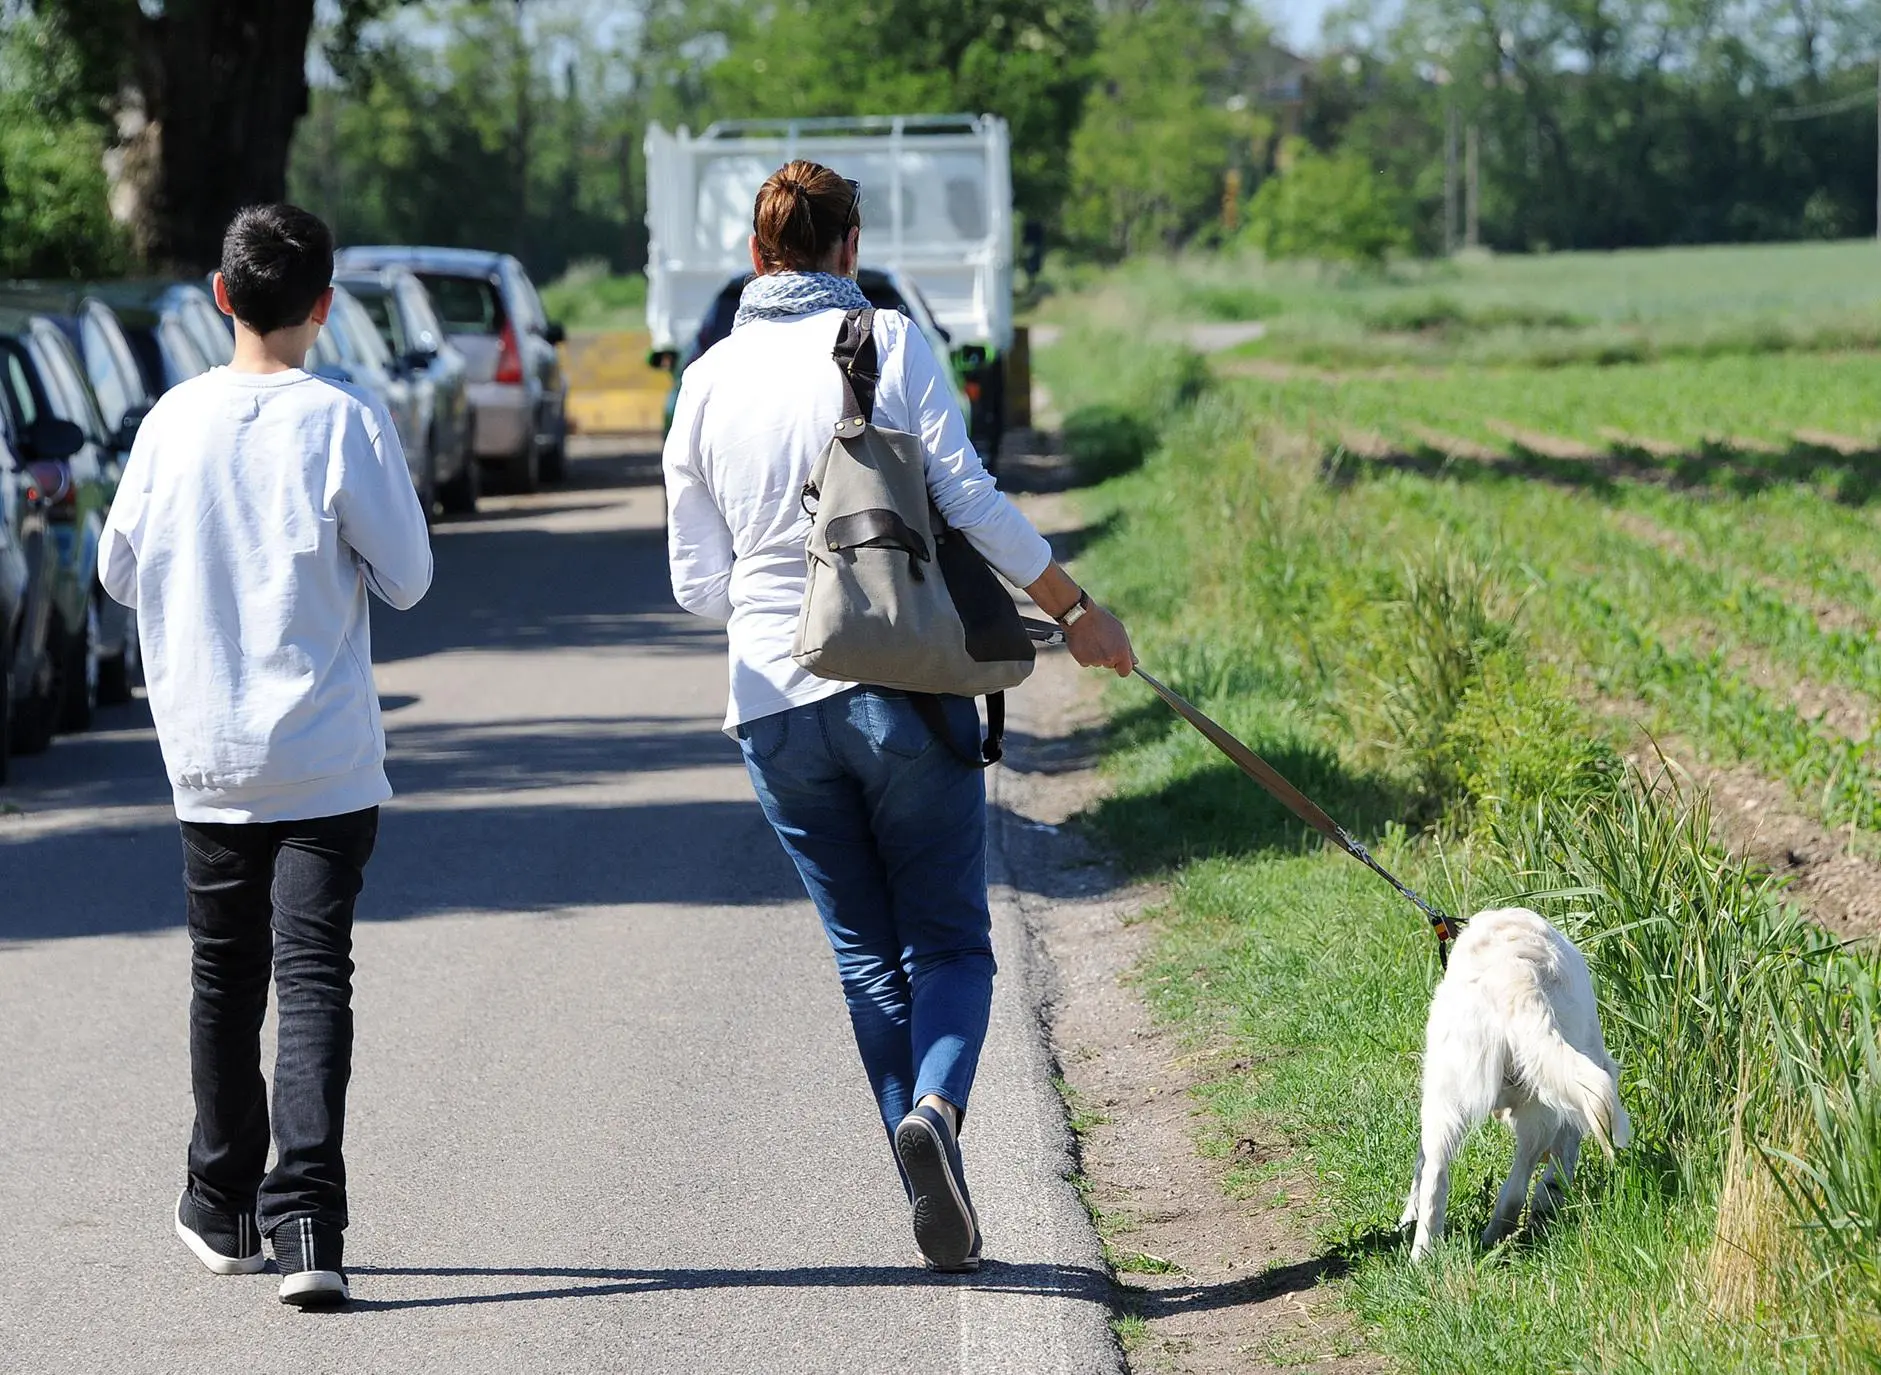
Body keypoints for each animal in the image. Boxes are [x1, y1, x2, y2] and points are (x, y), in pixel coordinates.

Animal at [1399, 910, 1632, 1264]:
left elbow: (1421, 1165)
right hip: (1542, 1100)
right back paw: (1494, 1234)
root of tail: (1521, 973)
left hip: (1444, 1092)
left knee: (1436, 1175)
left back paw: (1421, 1254)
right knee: (1515, 1187)